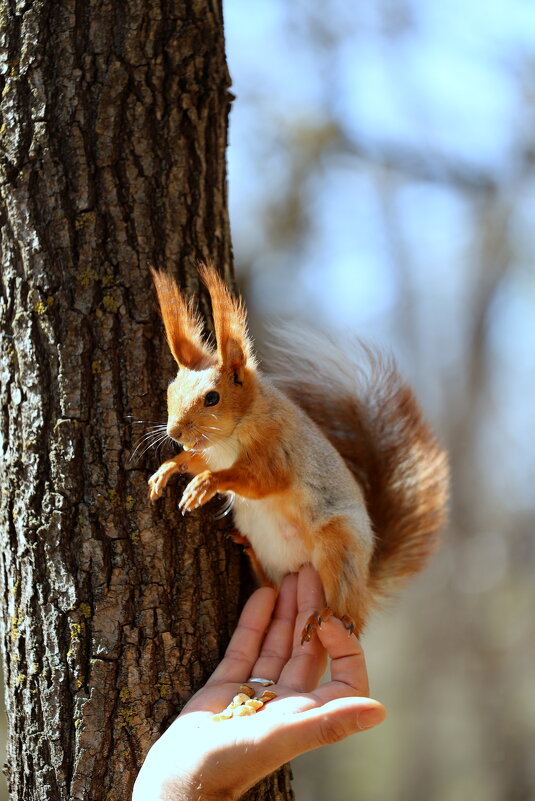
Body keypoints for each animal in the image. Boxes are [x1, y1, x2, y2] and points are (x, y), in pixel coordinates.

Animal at [146, 266, 448, 640]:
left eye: (212, 398)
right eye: (171, 389)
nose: (174, 433)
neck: (230, 436)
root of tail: (365, 580)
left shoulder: (276, 451)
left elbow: (260, 480)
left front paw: (204, 485)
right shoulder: (210, 450)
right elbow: (194, 458)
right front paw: (168, 468)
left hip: (338, 546)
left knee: (351, 613)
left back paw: (331, 613)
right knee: (275, 590)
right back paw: (252, 557)